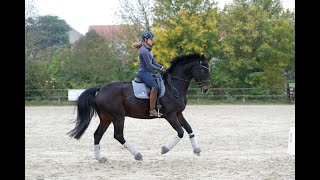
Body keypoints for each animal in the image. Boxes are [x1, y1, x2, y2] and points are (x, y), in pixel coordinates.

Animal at [68, 52, 211, 162]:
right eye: (204, 70)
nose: (206, 89)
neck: (174, 86)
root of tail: (100, 90)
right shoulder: (170, 115)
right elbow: (180, 132)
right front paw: (164, 149)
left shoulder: (178, 113)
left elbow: (189, 128)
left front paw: (197, 150)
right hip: (118, 116)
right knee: (118, 135)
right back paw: (137, 155)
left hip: (106, 118)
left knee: (97, 135)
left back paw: (100, 158)